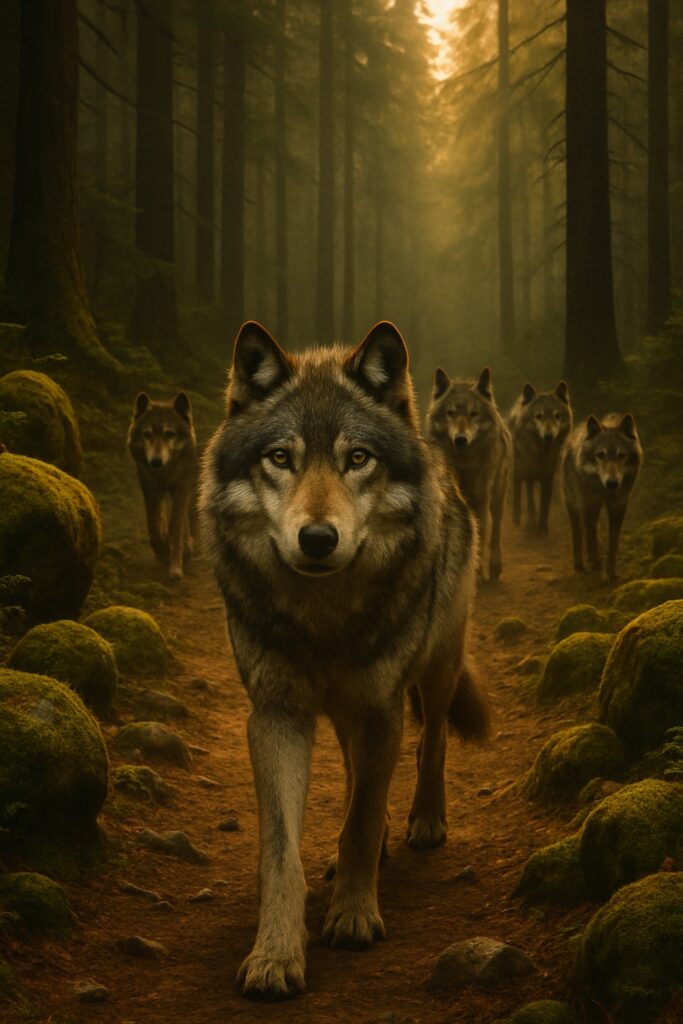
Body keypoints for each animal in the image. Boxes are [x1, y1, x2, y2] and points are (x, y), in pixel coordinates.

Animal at [127, 391, 197, 581]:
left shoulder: (180, 489)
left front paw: (175, 568)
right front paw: (162, 551)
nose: (156, 461)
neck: (164, 473)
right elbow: (153, 524)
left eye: (169, 434)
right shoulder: (151, 490)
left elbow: (176, 525)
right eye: (147, 434)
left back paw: (187, 546)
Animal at [200, 320, 489, 1000]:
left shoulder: (382, 707)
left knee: (431, 739)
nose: (317, 539)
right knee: (360, 773)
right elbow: (283, 849)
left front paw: (355, 918)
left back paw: (424, 820)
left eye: (358, 458)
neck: (322, 619)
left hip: (435, 666)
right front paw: (275, 956)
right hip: (342, 711)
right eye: (281, 458)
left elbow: (360, 818)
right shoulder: (275, 715)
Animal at [426, 367, 511, 580]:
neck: (464, 466)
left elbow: (482, 534)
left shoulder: (481, 499)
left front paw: (478, 571)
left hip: (498, 495)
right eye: (451, 413)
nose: (461, 439)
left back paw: (495, 567)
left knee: (496, 530)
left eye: (474, 414)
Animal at [508, 381, 573, 533]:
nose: (548, 436)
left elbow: (545, 504)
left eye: (557, 415)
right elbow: (527, 499)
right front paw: (528, 522)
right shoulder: (526, 473)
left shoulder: (548, 476)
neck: (540, 454)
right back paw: (520, 519)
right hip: (520, 472)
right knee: (520, 492)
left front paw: (542, 528)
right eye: (538, 416)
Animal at [562, 413, 642, 580]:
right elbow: (590, 534)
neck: (604, 491)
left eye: (621, 455)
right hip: (573, 505)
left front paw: (610, 572)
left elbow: (612, 540)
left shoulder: (618, 506)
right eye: (600, 455)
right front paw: (595, 563)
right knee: (578, 532)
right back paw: (580, 564)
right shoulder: (589, 504)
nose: (612, 483)